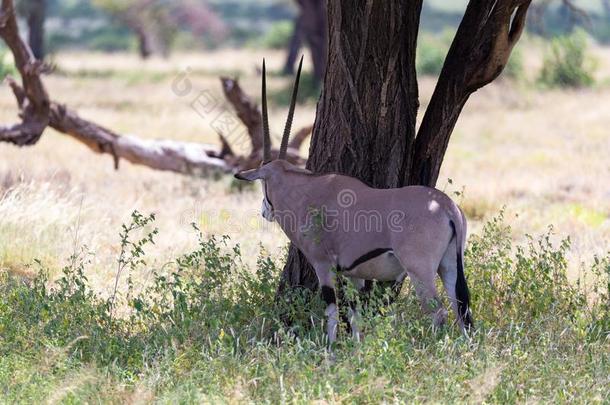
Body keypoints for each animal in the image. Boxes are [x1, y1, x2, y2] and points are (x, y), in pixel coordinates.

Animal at [233, 59, 470, 344]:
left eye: (262, 182)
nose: (264, 212)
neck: (306, 192)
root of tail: (446, 207)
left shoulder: (323, 265)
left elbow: (332, 309)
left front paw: (330, 346)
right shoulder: (356, 274)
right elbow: (355, 314)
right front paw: (357, 348)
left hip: (420, 270)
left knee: (439, 312)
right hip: (449, 265)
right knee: (461, 309)